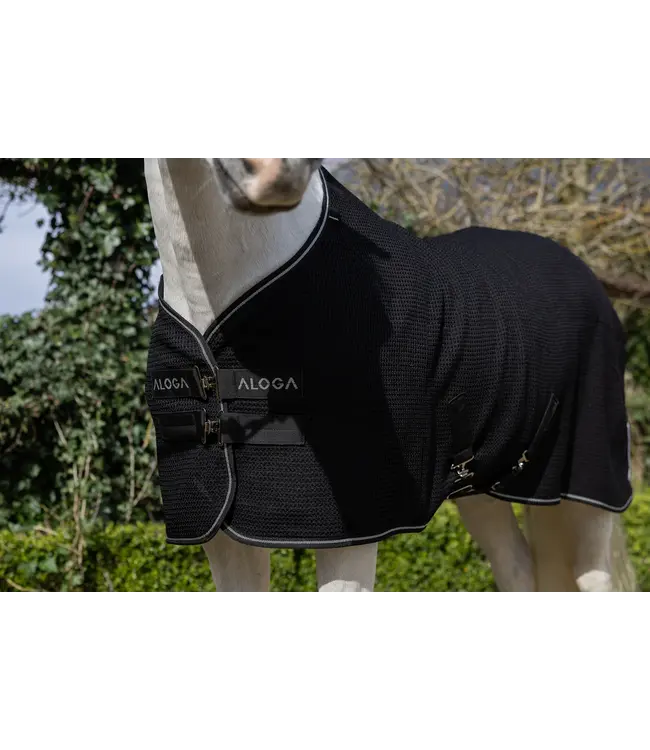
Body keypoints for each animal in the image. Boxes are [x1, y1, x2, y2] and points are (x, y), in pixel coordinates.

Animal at [143, 153, 636, 592]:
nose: (273, 173)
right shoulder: (219, 534)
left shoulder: (356, 530)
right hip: (481, 485)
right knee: (517, 569)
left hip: (586, 489)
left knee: (593, 576)